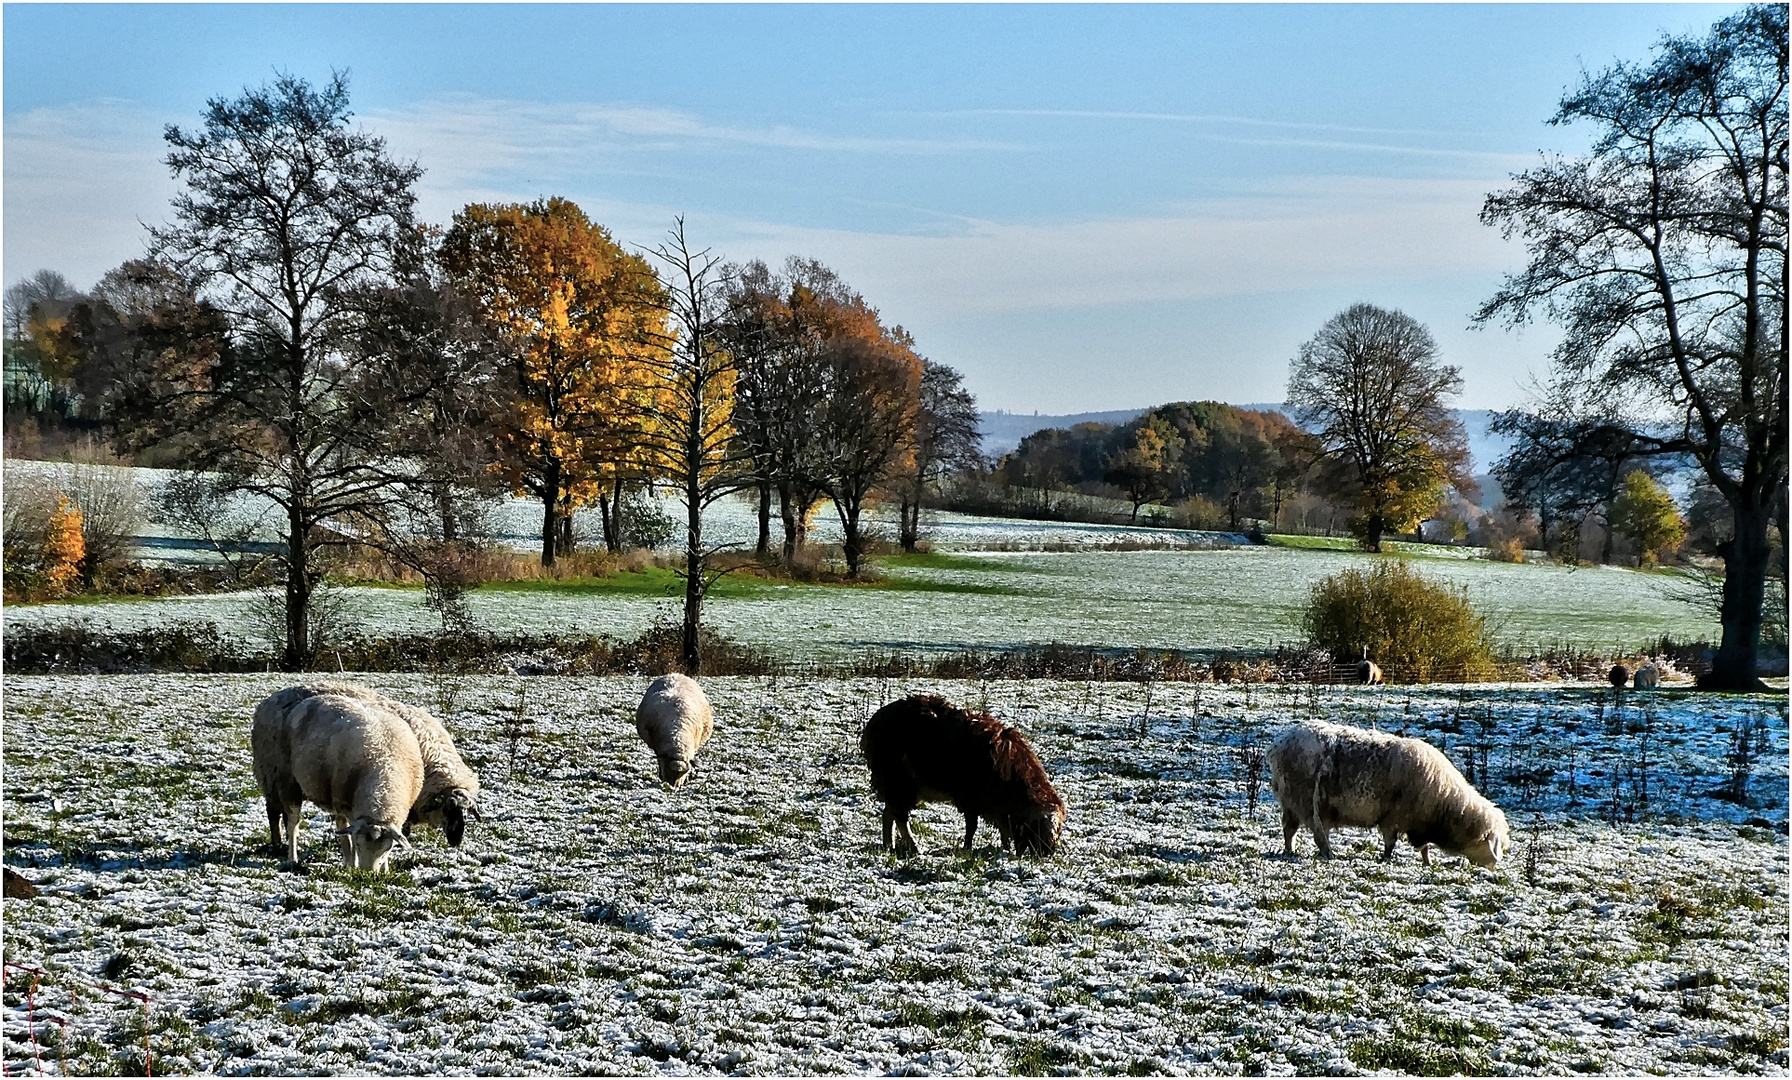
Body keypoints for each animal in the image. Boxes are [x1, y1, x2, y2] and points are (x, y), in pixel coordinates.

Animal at [252, 687, 422, 874]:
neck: (384, 770)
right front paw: (352, 864)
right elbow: (347, 836)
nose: (368, 874)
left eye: (388, 848)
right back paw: (292, 859)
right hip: (285, 780)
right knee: (292, 823)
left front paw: (384, 870)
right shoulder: (344, 804)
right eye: (359, 845)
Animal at [261, 687, 480, 848]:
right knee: (273, 813)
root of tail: (271, 698)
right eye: (448, 809)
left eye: (468, 812)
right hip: (271, 775)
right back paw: (277, 843)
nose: (457, 841)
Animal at [856, 698, 1060, 856]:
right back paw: (914, 847)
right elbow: (972, 826)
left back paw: (888, 845)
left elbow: (1002, 828)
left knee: (888, 813)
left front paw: (1005, 848)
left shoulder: (995, 805)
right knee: (898, 816)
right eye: (1040, 828)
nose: (1047, 854)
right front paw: (967, 848)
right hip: (898, 780)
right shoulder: (971, 798)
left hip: (896, 784)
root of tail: (872, 723)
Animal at [1268, 720, 1505, 870]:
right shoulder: (1395, 818)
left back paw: (1290, 851)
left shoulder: (1417, 824)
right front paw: (1387, 858)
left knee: (1290, 829)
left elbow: (1424, 847)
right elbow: (1392, 842)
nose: (1492, 870)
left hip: (1291, 802)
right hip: (1306, 799)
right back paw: (1328, 854)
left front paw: (1427, 863)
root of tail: (1279, 744)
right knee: (1317, 832)